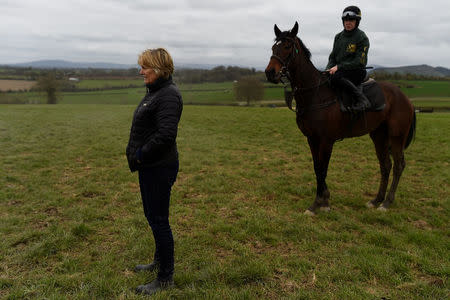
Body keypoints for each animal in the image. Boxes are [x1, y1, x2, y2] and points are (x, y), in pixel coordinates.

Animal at [266, 22, 416, 214]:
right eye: (273, 47)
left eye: (287, 46)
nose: (270, 73)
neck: (316, 94)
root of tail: (405, 97)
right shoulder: (312, 139)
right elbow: (317, 168)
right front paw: (324, 199)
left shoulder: (326, 140)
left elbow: (323, 169)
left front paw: (318, 203)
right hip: (379, 136)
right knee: (386, 165)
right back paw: (376, 200)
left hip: (397, 137)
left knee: (398, 165)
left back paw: (386, 203)